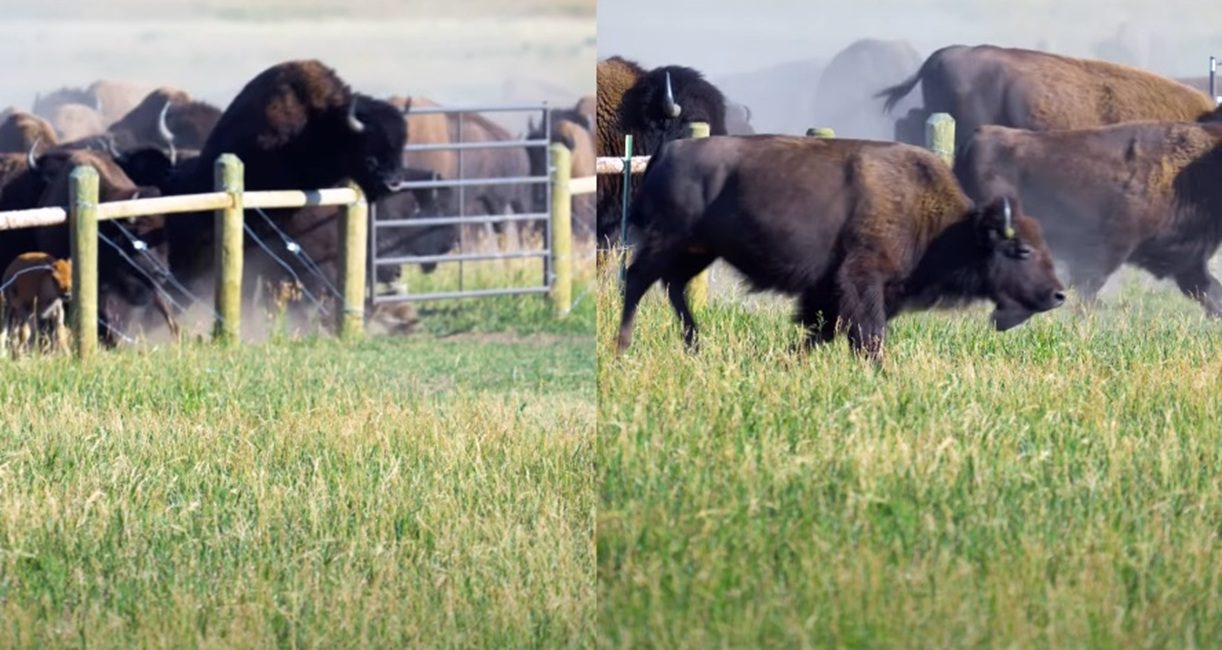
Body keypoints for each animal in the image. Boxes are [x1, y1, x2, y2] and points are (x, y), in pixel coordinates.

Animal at [617, 135, 1065, 362]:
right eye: (1022, 251)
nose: (1058, 294)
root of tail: (668, 149)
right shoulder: (861, 280)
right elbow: (867, 335)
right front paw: (880, 372)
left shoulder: (838, 291)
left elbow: (823, 330)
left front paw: (786, 360)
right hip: (669, 241)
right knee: (638, 281)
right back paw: (623, 348)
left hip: (698, 250)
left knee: (673, 286)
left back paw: (694, 345)